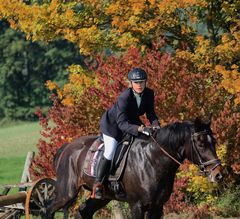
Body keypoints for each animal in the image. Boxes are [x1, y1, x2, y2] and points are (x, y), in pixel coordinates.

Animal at [43, 118, 223, 219]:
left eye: (213, 141)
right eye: (201, 143)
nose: (218, 175)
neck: (153, 160)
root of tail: (66, 148)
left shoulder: (157, 207)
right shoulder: (137, 205)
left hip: (102, 196)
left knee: (83, 211)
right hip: (67, 192)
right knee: (48, 209)